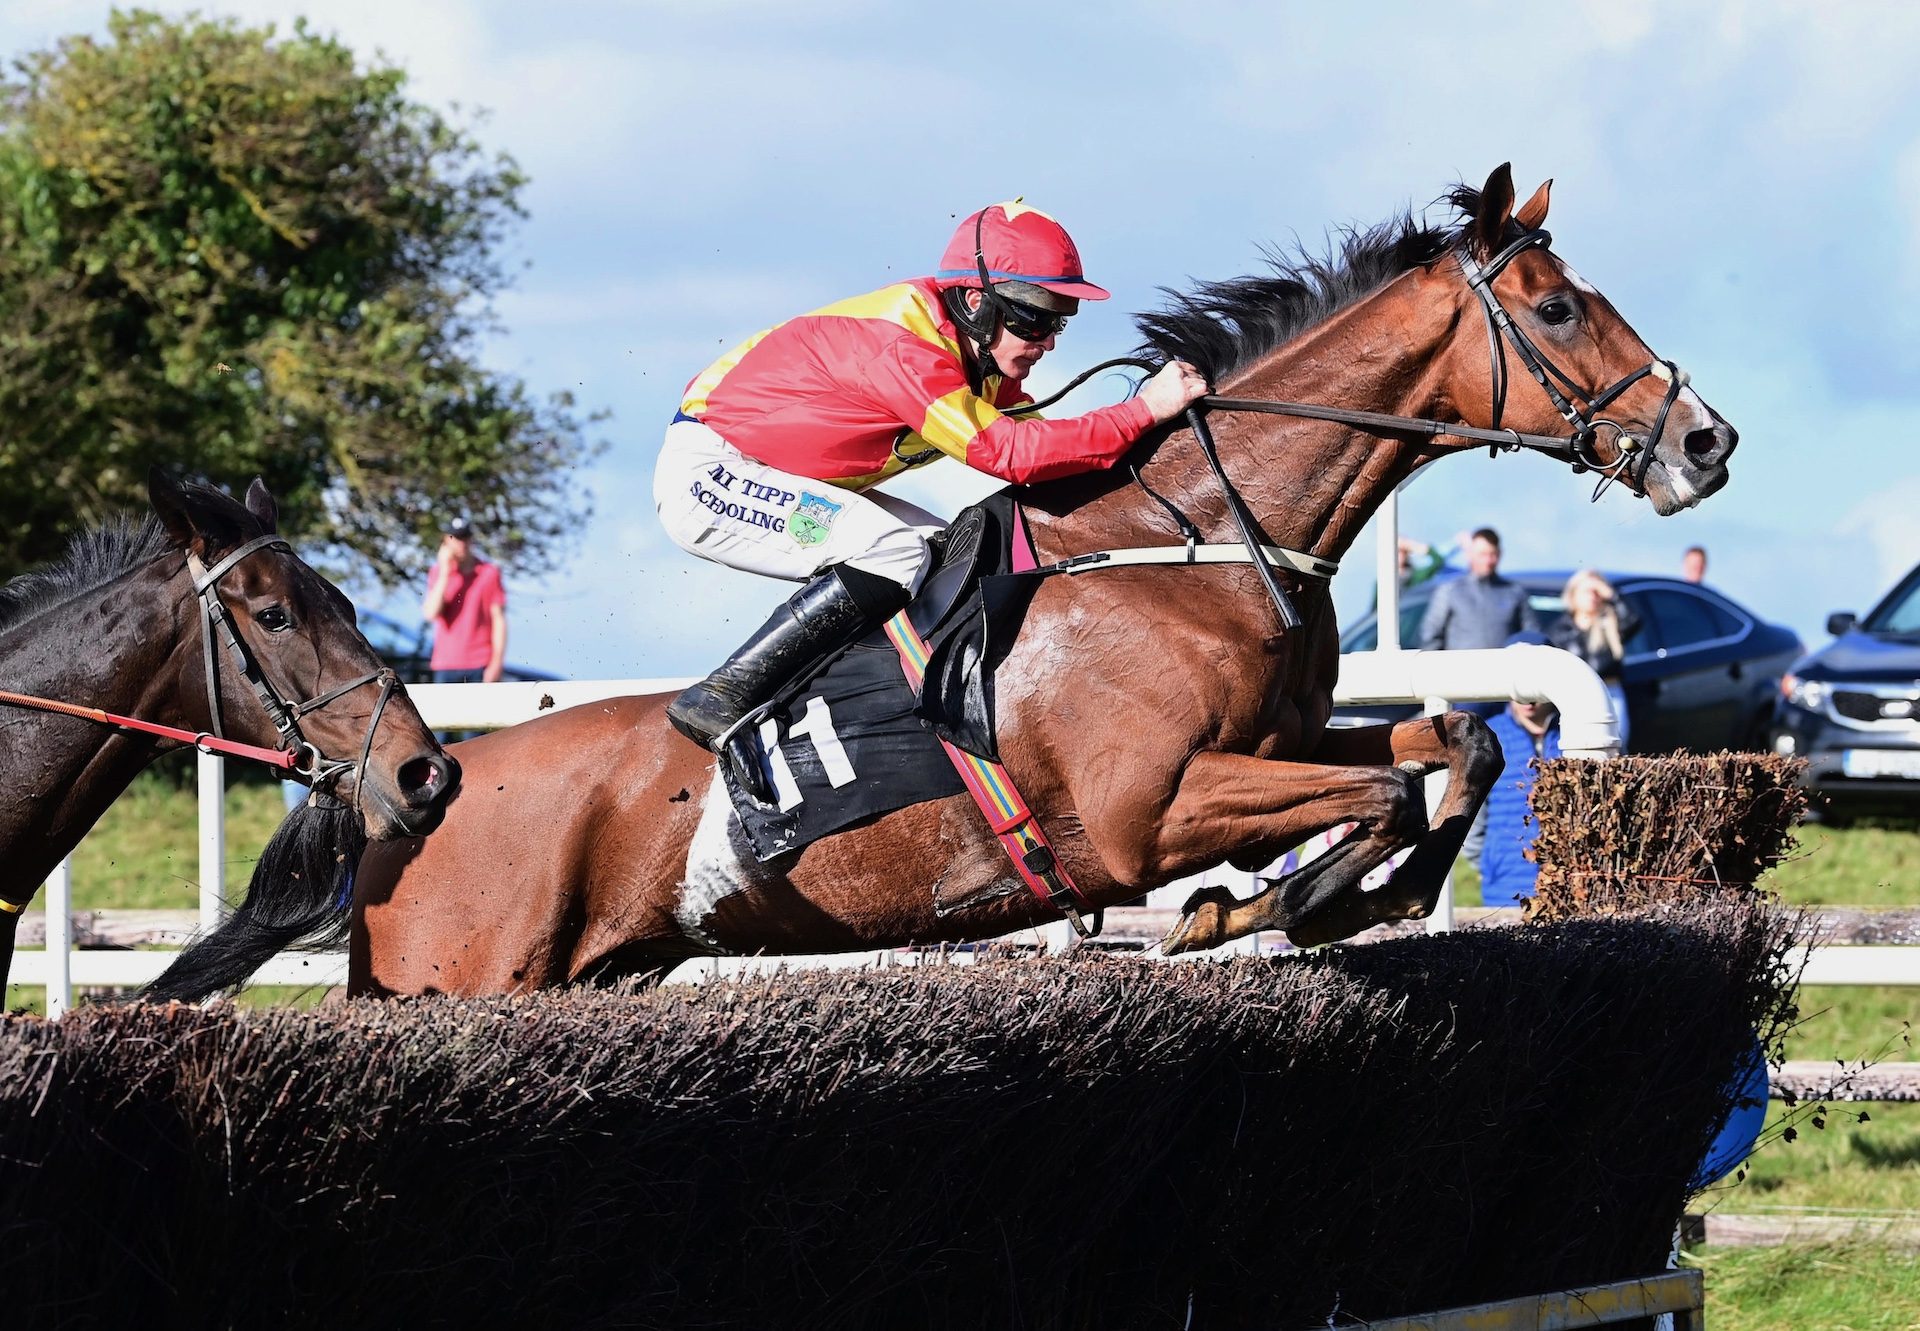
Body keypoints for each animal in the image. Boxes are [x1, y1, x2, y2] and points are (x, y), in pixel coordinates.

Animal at [165, 166, 1735, 998]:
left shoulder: (1279, 736)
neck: (1193, 539)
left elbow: (1453, 743)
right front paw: (1270, 906)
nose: (1704, 439)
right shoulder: (1145, 810)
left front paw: (1351, 895)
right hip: (458, 979)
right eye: (1555, 308)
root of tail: (408, 785)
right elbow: (1378, 795)